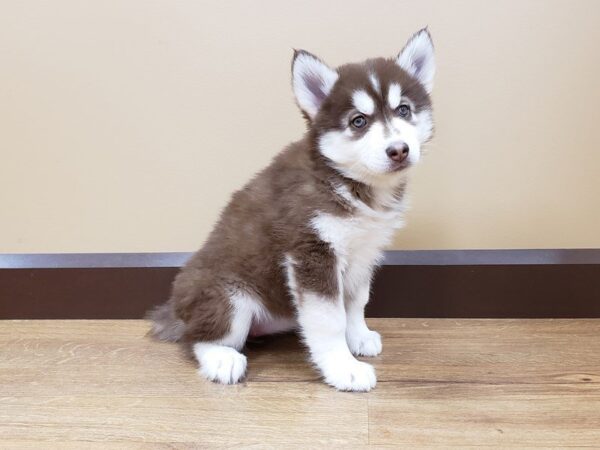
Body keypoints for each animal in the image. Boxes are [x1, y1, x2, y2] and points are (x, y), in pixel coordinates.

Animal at [148, 29, 434, 392]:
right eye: (358, 121)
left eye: (404, 110)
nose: (398, 150)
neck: (346, 180)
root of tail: (175, 310)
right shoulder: (311, 252)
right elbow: (329, 319)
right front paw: (343, 368)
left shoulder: (364, 251)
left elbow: (356, 301)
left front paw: (358, 336)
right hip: (229, 298)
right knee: (197, 339)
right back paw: (222, 358)